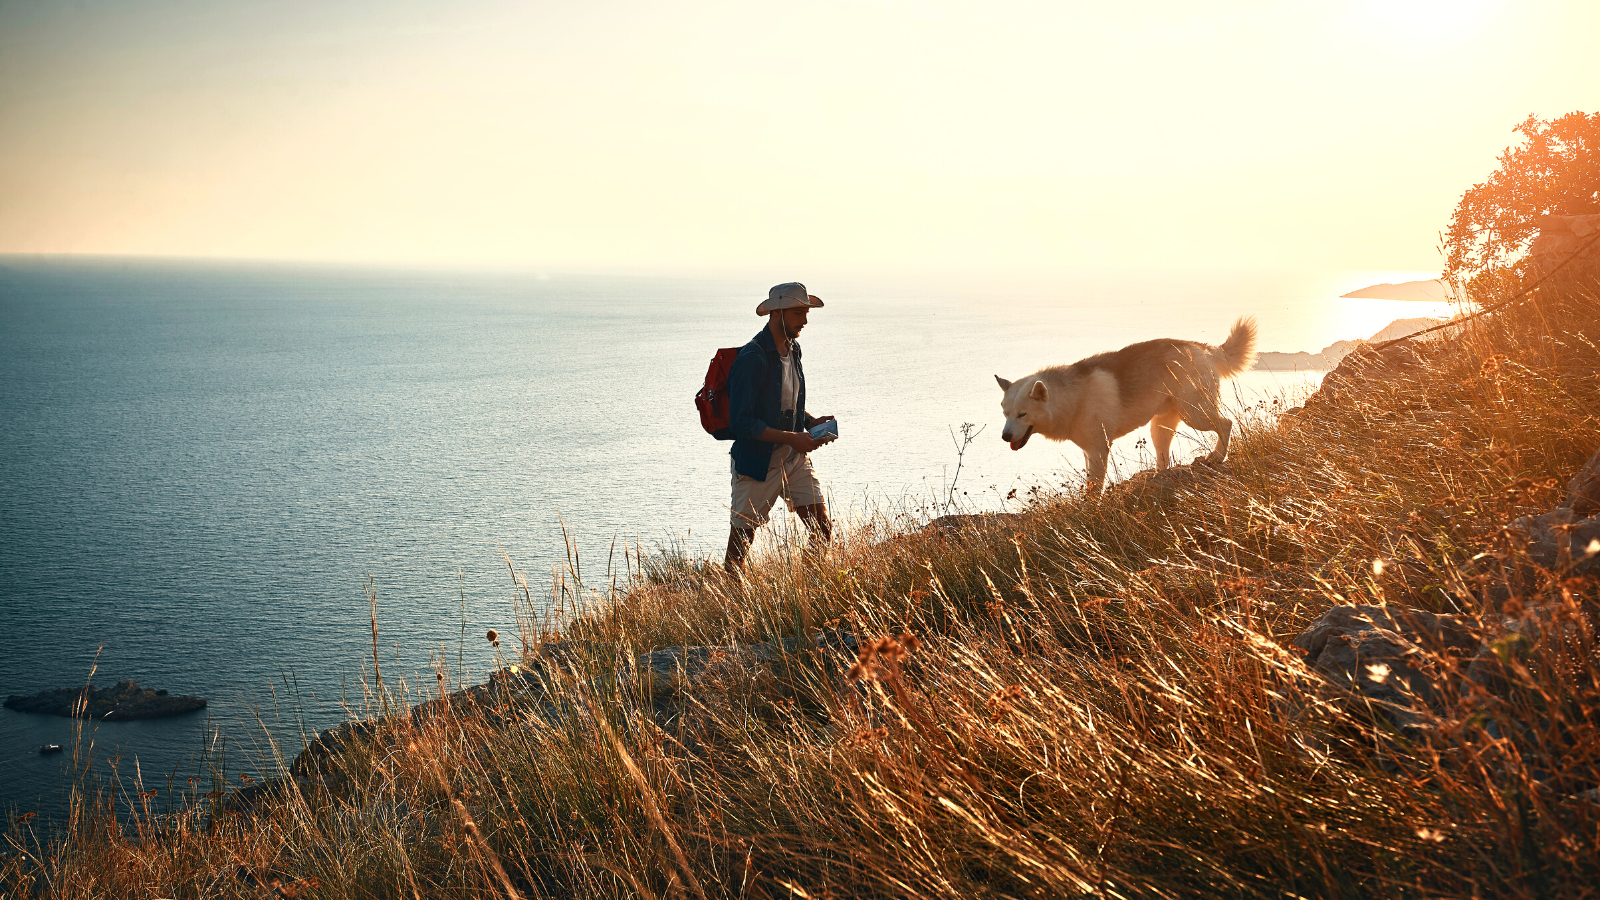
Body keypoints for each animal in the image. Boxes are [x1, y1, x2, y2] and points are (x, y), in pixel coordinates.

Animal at [992, 317, 1254, 490]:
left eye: (1022, 414)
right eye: (1005, 414)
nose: (1005, 437)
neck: (1073, 399)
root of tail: (1203, 349)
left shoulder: (1098, 451)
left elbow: (1093, 489)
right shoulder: (1089, 452)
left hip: (1195, 414)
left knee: (1227, 423)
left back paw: (1216, 457)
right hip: (1162, 426)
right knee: (1164, 459)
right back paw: (1158, 478)